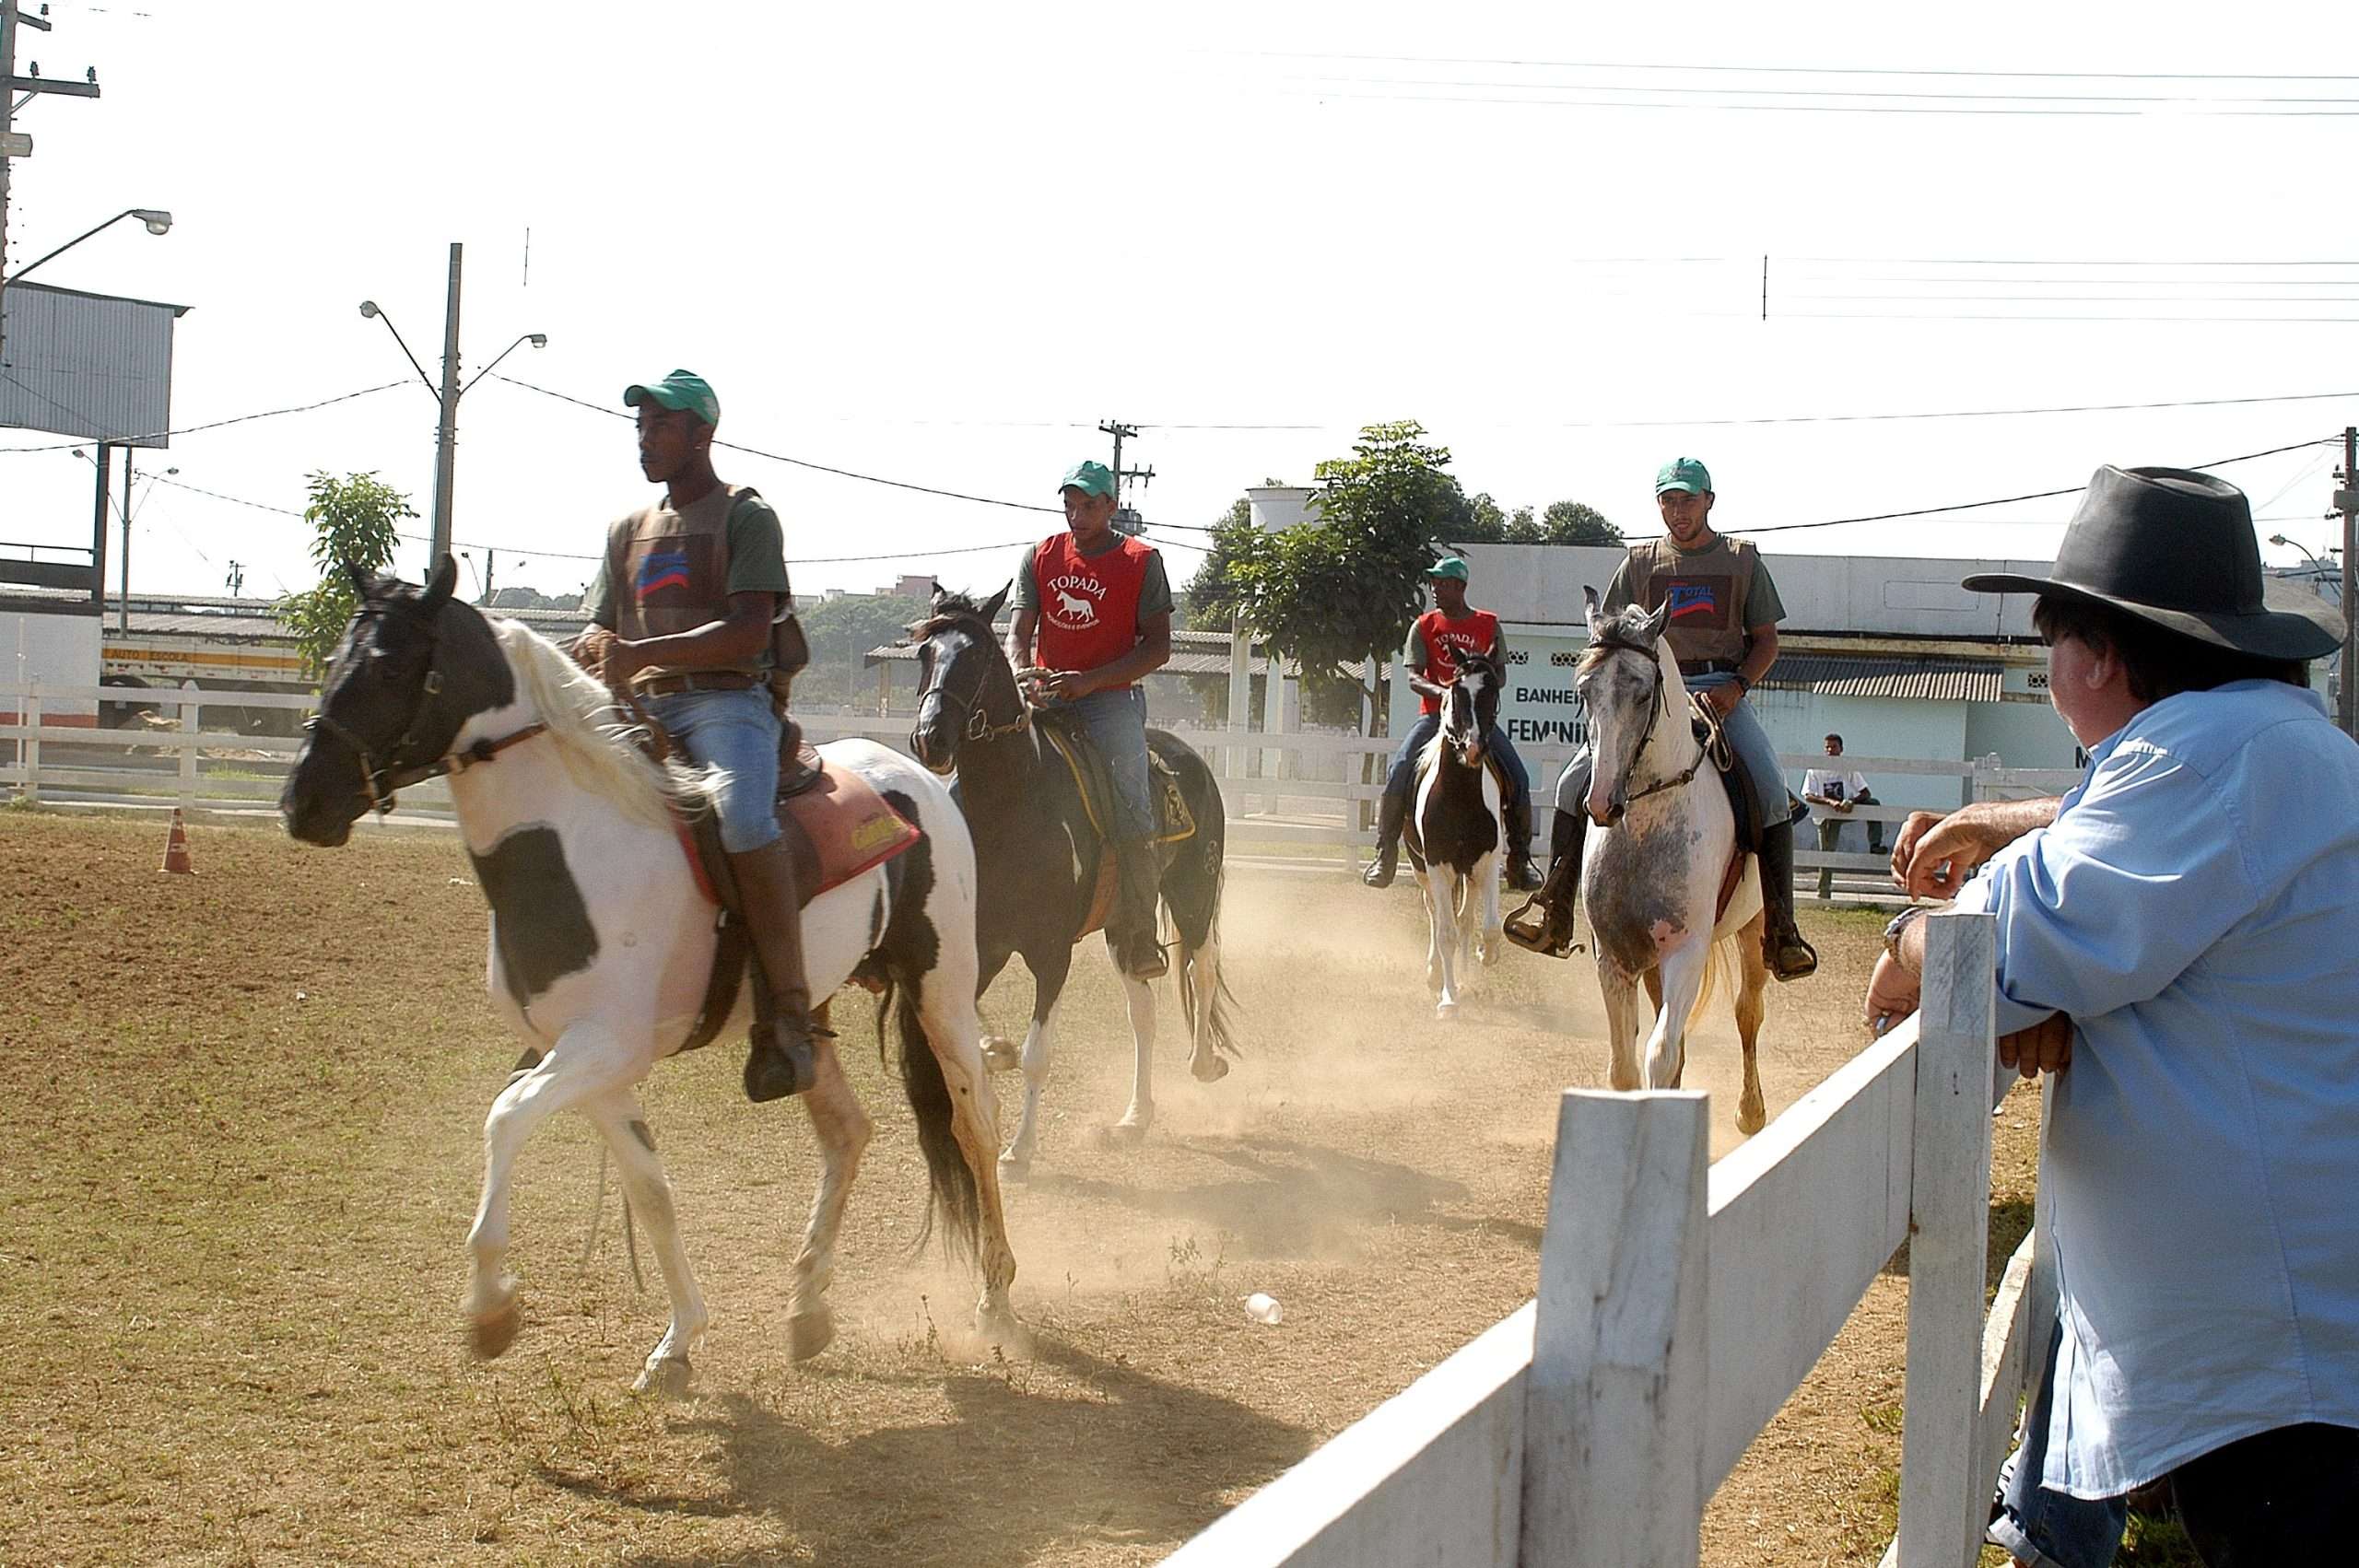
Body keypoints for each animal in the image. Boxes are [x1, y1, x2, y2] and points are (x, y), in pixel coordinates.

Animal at [276, 563, 1014, 1396]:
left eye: (393, 666)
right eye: (336, 657)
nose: (303, 801)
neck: (574, 846)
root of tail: (914, 775)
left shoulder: (601, 1047)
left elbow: (503, 1120)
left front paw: (492, 1308)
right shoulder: (591, 1066)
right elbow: (652, 1193)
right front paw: (677, 1343)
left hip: (942, 993)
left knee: (976, 1125)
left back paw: (996, 1303)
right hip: (808, 1016)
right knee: (848, 1133)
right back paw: (807, 1307)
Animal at [900, 587, 1245, 1174]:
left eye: (978, 655)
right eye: (926, 653)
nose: (931, 739)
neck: (1009, 807)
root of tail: (1190, 759)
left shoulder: (1051, 952)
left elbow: (1037, 1055)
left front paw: (1019, 1151)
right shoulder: (982, 945)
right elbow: (969, 1040)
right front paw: (992, 1059)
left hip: (1193, 894)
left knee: (1201, 968)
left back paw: (1203, 1062)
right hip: (1124, 928)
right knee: (1143, 1014)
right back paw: (1135, 1118)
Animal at [1405, 646, 1500, 1013]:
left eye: (1493, 691)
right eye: (1457, 692)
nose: (1473, 747)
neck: (1459, 796)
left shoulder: (1487, 862)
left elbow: (1489, 927)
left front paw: (1485, 957)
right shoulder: (1437, 865)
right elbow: (1445, 932)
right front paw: (1448, 999)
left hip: (1469, 873)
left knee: (1466, 920)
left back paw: (1465, 977)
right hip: (1424, 870)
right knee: (1436, 914)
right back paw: (1436, 975)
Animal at [1566, 587, 1774, 1136]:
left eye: (1642, 693)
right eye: (1584, 690)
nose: (1603, 803)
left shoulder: (1686, 950)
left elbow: (1660, 1054)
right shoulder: (1615, 957)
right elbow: (1624, 1066)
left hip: (1754, 932)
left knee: (1748, 1013)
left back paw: (1750, 1113)